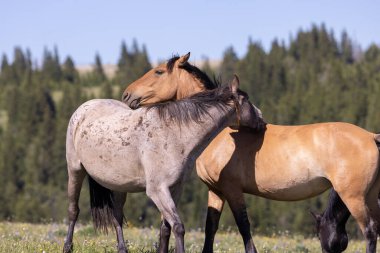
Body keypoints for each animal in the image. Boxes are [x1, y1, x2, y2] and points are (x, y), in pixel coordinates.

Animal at [63, 75, 264, 253]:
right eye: (246, 100)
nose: (262, 120)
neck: (173, 134)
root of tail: (85, 107)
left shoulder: (175, 188)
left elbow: (166, 228)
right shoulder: (157, 190)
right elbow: (178, 227)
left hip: (120, 185)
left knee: (117, 215)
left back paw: (122, 249)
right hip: (75, 171)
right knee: (73, 211)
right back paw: (67, 247)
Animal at [122, 52, 380, 252]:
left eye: (158, 72)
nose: (126, 95)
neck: (221, 132)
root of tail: (371, 137)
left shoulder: (233, 190)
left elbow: (244, 227)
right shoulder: (215, 190)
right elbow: (210, 228)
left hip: (353, 196)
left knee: (369, 231)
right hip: (368, 196)